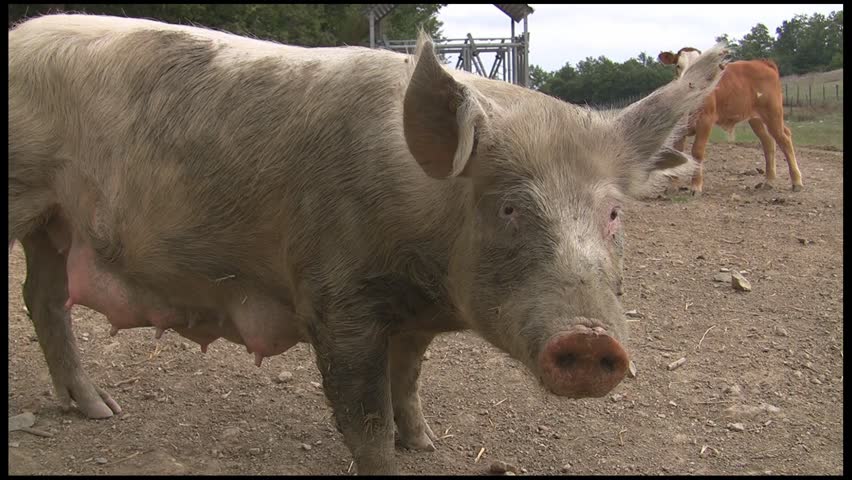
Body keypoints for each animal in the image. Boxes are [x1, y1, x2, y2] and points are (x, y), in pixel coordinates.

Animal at [9, 14, 727, 474]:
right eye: (510, 208)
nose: (592, 339)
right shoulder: (337, 297)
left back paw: (101, 412)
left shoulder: (415, 317)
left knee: (41, 296)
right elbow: (364, 414)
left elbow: (408, 379)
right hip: (23, 194)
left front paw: (428, 445)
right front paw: (393, 455)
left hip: (56, 224)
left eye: (613, 213)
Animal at [658, 47, 803, 194]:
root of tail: (762, 63)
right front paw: (672, 186)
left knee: (784, 139)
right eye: (678, 66)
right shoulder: (678, 128)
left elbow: (697, 151)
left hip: (773, 113)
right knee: (768, 142)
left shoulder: (705, 121)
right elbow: (677, 153)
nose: (690, 83)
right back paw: (769, 180)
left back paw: (796, 181)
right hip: (756, 119)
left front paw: (696, 186)